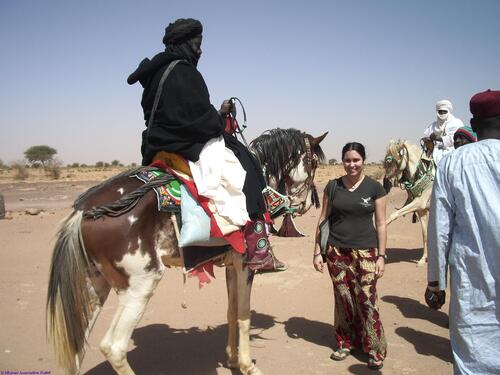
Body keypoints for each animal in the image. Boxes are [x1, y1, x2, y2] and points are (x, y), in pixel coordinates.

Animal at [47, 130, 328, 375]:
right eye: (312, 162)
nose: (304, 205)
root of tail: (83, 212)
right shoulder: (246, 264)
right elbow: (244, 314)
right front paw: (248, 365)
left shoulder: (230, 264)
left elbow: (232, 311)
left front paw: (232, 359)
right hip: (140, 285)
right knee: (114, 347)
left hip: (94, 284)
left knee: (76, 348)